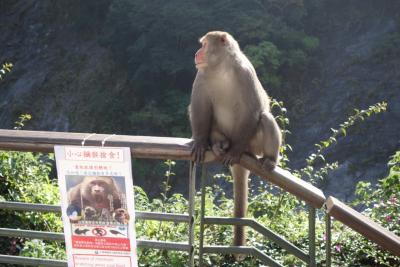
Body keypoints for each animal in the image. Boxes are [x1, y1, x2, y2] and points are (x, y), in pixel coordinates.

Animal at [188, 30, 280, 247]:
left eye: (204, 45)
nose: (197, 53)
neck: (222, 68)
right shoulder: (202, 74)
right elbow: (200, 108)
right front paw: (200, 142)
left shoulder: (246, 73)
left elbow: (253, 110)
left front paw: (235, 150)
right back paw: (219, 144)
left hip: (252, 144)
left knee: (265, 118)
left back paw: (268, 158)